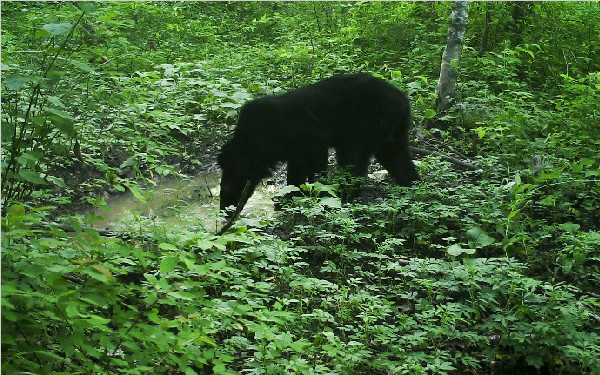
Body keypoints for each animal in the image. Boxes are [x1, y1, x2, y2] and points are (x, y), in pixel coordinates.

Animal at [218, 72, 420, 212]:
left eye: (230, 184)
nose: (224, 208)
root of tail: (402, 99)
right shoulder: (296, 150)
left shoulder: (312, 140)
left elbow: (313, 171)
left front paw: (311, 195)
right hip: (392, 136)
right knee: (400, 163)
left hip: (363, 132)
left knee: (353, 165)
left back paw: (344, 197)